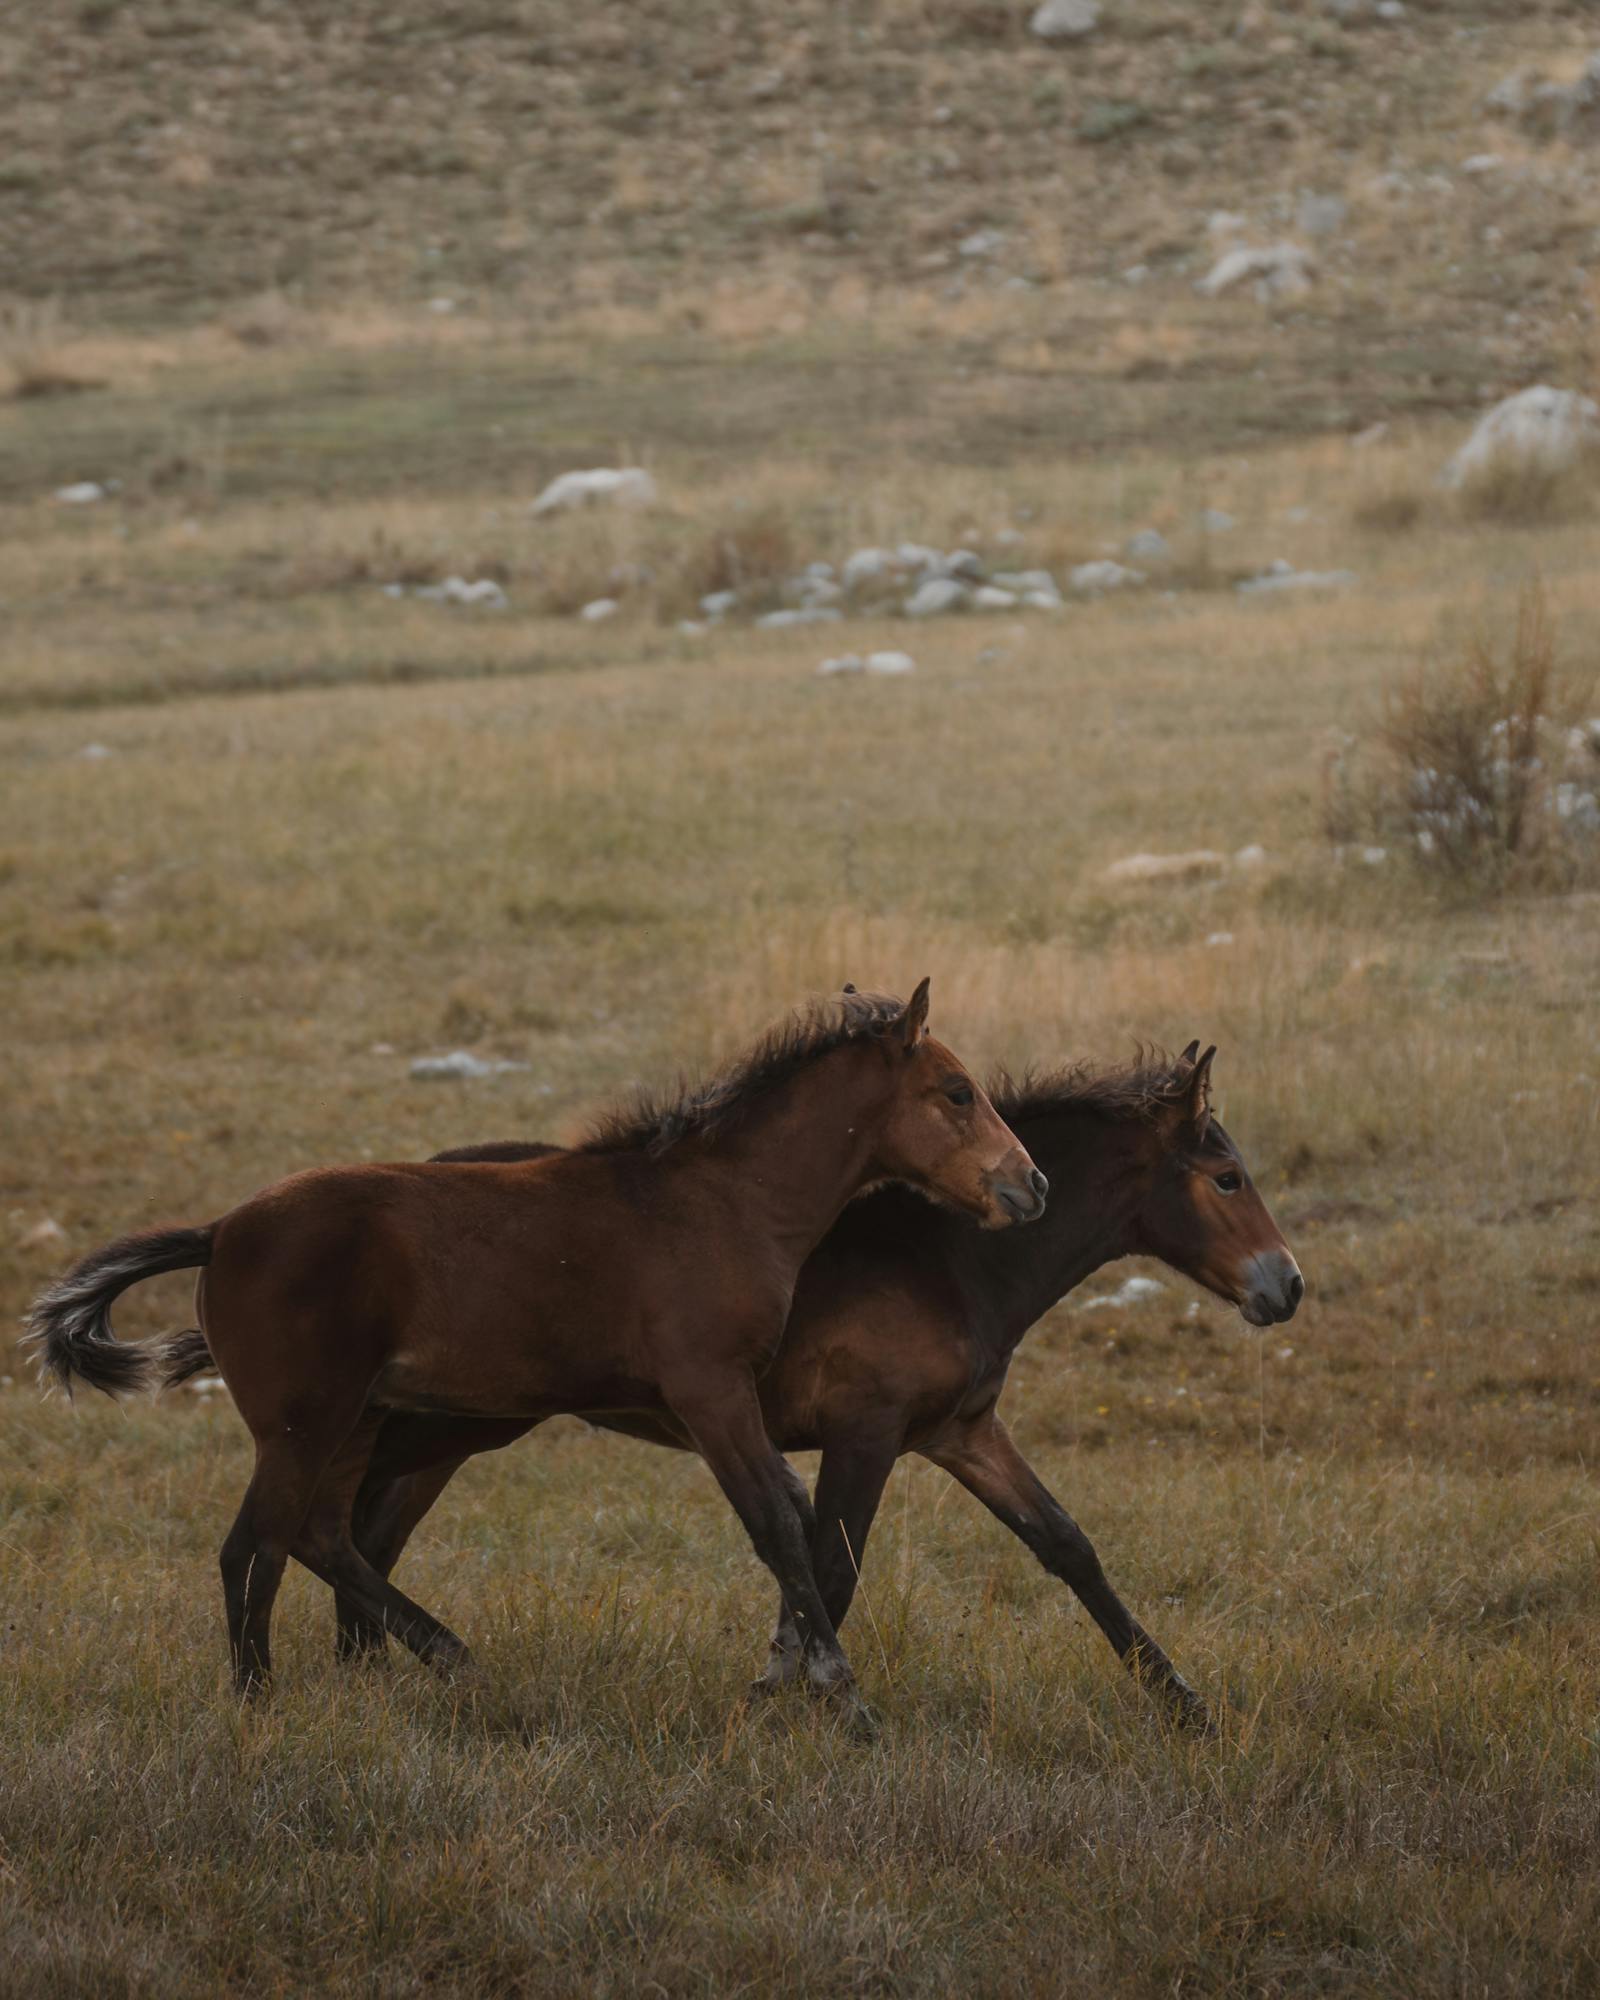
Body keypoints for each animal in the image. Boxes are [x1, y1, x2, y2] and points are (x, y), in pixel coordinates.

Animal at [31, 976, 1048, 1712]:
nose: (1030, 1185)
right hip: (304, 1422)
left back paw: (448, 1657)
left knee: (320, 1532)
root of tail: (220, 1231)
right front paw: (842, 1697)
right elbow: (779, 1523)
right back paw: (258, 1699)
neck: (728, 1202)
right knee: (256, 1542)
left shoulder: (729, 1399)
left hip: (355, 1418)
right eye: (958, 1092)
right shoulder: (710, 1389)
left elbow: (794, 1521)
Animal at [300, 1040, 1296, 1728]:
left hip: (455, 1424)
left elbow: (1066, 1545)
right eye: (1226, 1177)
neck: (946, 1262)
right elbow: (830, 1568)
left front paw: (1185, 1704)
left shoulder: (963, 1433)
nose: (1286, 1286)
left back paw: (366, 1672)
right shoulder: (867, 1433)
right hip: (450, 1419)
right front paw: (781, 1697)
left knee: (370, 1526)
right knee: (346, 1517)